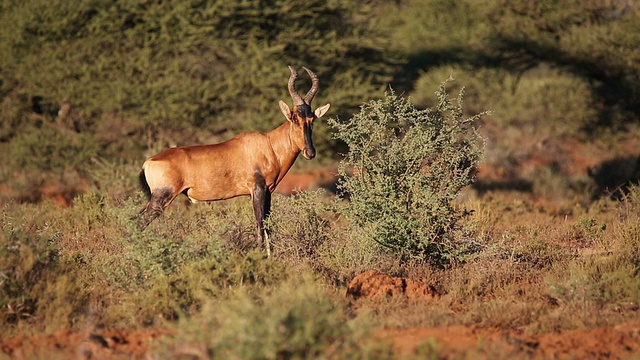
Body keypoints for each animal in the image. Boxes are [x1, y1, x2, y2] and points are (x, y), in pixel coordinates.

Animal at [139, 65, 330, 256]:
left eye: (312, 119)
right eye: (294, 118)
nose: (310, 152)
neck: (268, 144)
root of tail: (149, 162)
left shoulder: (268, 192)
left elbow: (268, 227)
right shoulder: (257, 190)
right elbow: (259, 226)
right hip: (162, 197)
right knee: (141, 221)